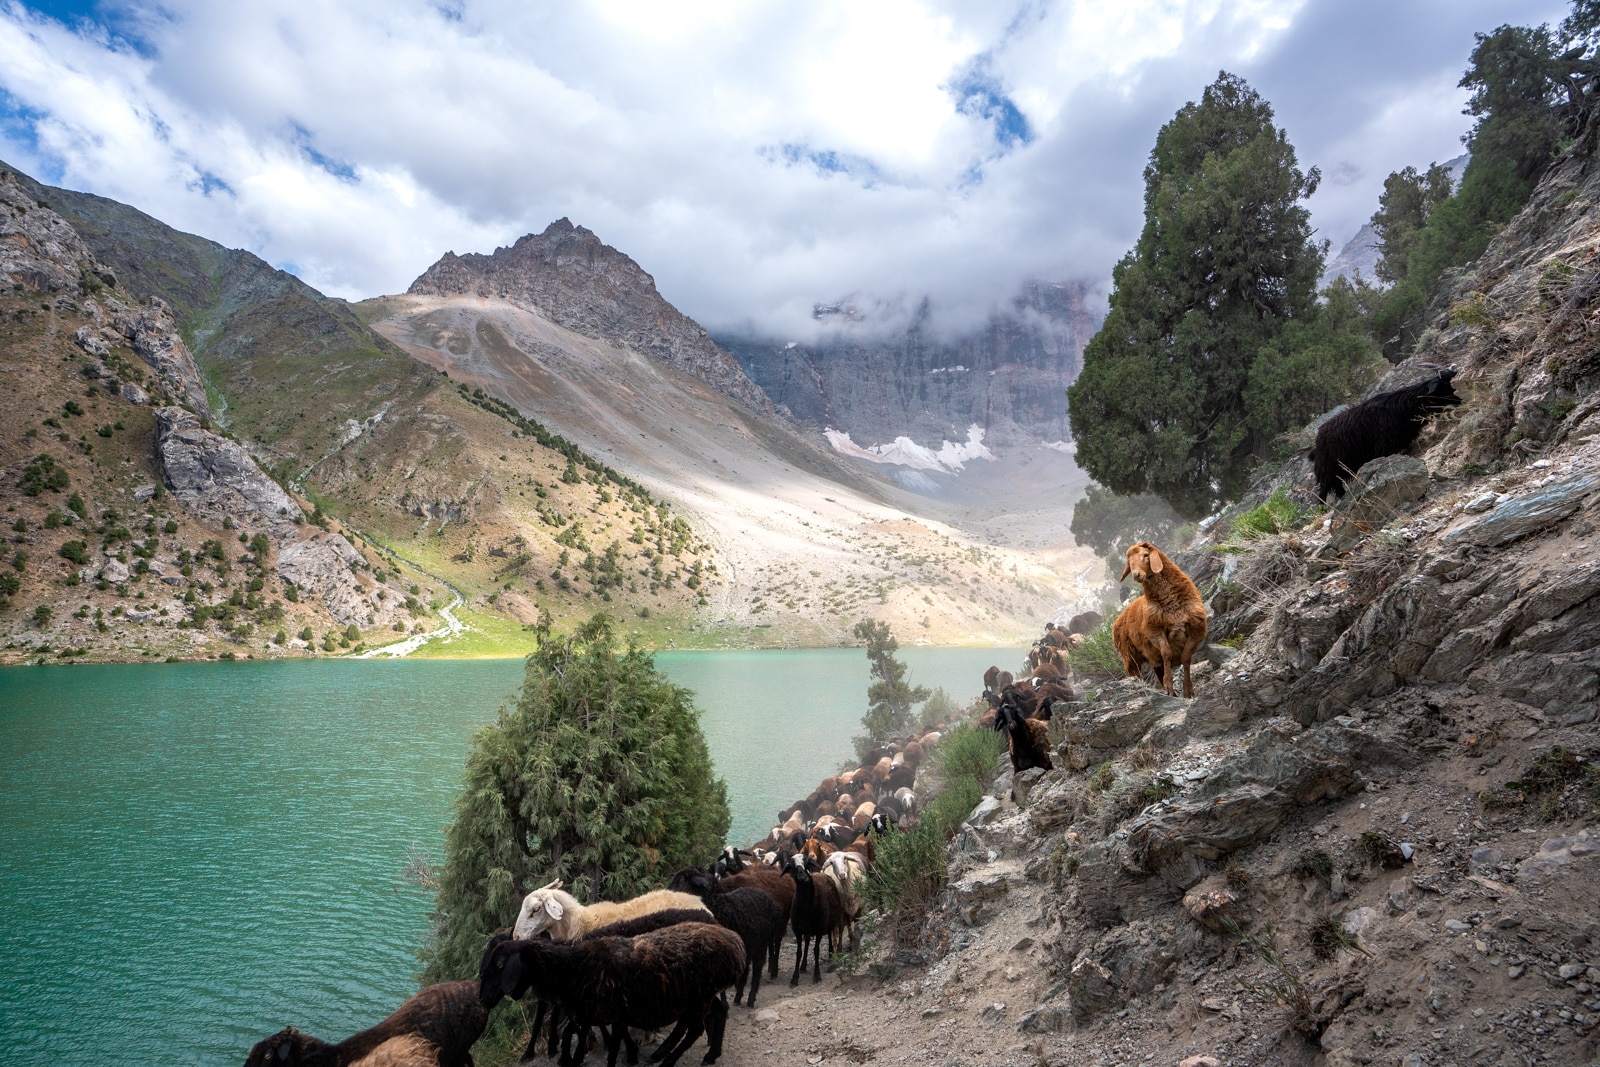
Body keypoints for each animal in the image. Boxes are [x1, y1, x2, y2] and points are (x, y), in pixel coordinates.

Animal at [665, 870, 784, 1011]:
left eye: (682, 881)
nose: (667, 893)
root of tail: (769, 898)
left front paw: (723, 1003)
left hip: (761, 944)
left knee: (757, 970)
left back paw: (750, 999)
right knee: (745, 971)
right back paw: (738, 998)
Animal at [1120, 543, 1203, 700]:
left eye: (1146, 555)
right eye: (1128, 561)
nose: (1136, 575)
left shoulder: (1196, 630)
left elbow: (1186, 657)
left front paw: (1188, 691)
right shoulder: (1155, 631)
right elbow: (1167, 654)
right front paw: (1169, 687)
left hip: (1151, 657)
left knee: (1158, 671)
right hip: (1130, 657)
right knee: (1135, 674)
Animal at [1312, 367, 1465, 502]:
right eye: (1446, 384)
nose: (1462, 398)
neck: (1403, 408)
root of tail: (1318, 438)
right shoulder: (1384, 449)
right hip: (1328, 471)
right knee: (1323, 493)